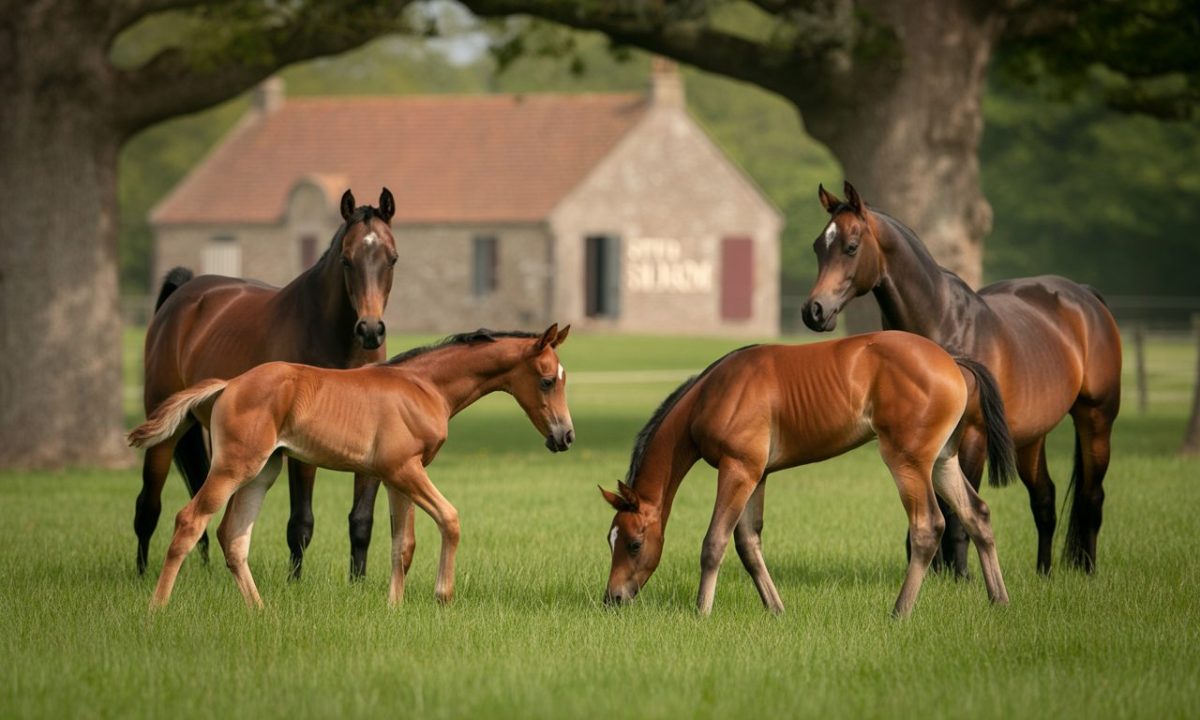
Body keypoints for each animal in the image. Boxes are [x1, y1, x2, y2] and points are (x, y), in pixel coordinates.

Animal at [128, 325, 575, 609]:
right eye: (547, 380)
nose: (566, 436)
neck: (423, 387)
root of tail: (229, 385)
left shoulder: (397, 478)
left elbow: (403, 545)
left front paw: (394, 608)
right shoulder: (406, 471)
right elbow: (450, 518)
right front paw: (442, 596)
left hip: (264, 471)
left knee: (233, 537)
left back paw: (260, 611)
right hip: (235, 466)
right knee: (190, 521)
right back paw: (156, 610)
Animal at [135, 187, 407, 582]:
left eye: (392, 259)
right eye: (346, 260)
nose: (370, 330)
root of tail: (182, 295)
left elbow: (361, 522)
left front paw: (358, 583)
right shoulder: (301, 451)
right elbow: (301, 521)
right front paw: (295, 582)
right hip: (164, 434)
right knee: (148, 507)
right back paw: (143, 575)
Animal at [601, 331, 1015, 617]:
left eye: (634, 543)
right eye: (610, 539)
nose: (613, 598)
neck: (714, 393)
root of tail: (952, 362)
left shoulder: (738, 469)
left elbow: (714, 542)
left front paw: (702, 611)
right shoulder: (757, 474)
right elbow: (748, 544)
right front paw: (776, 609)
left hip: (908, 462)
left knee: (928, 526)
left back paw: (899, 611)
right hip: (943, 461)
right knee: (977, 514)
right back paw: (999, 600)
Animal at [802, 182, 1122, 576]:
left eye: (851, 246)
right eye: (818, 246)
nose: (814, 311)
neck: (945, 324)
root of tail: (1085, 297)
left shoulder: (971, 438)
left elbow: (958, 515)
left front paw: (961, 576)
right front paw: (936, 571)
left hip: (1096, 418)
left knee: (1092, 497)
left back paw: (1087, 570)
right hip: (1032, 436)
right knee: (1044, 500)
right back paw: (1043, 573)